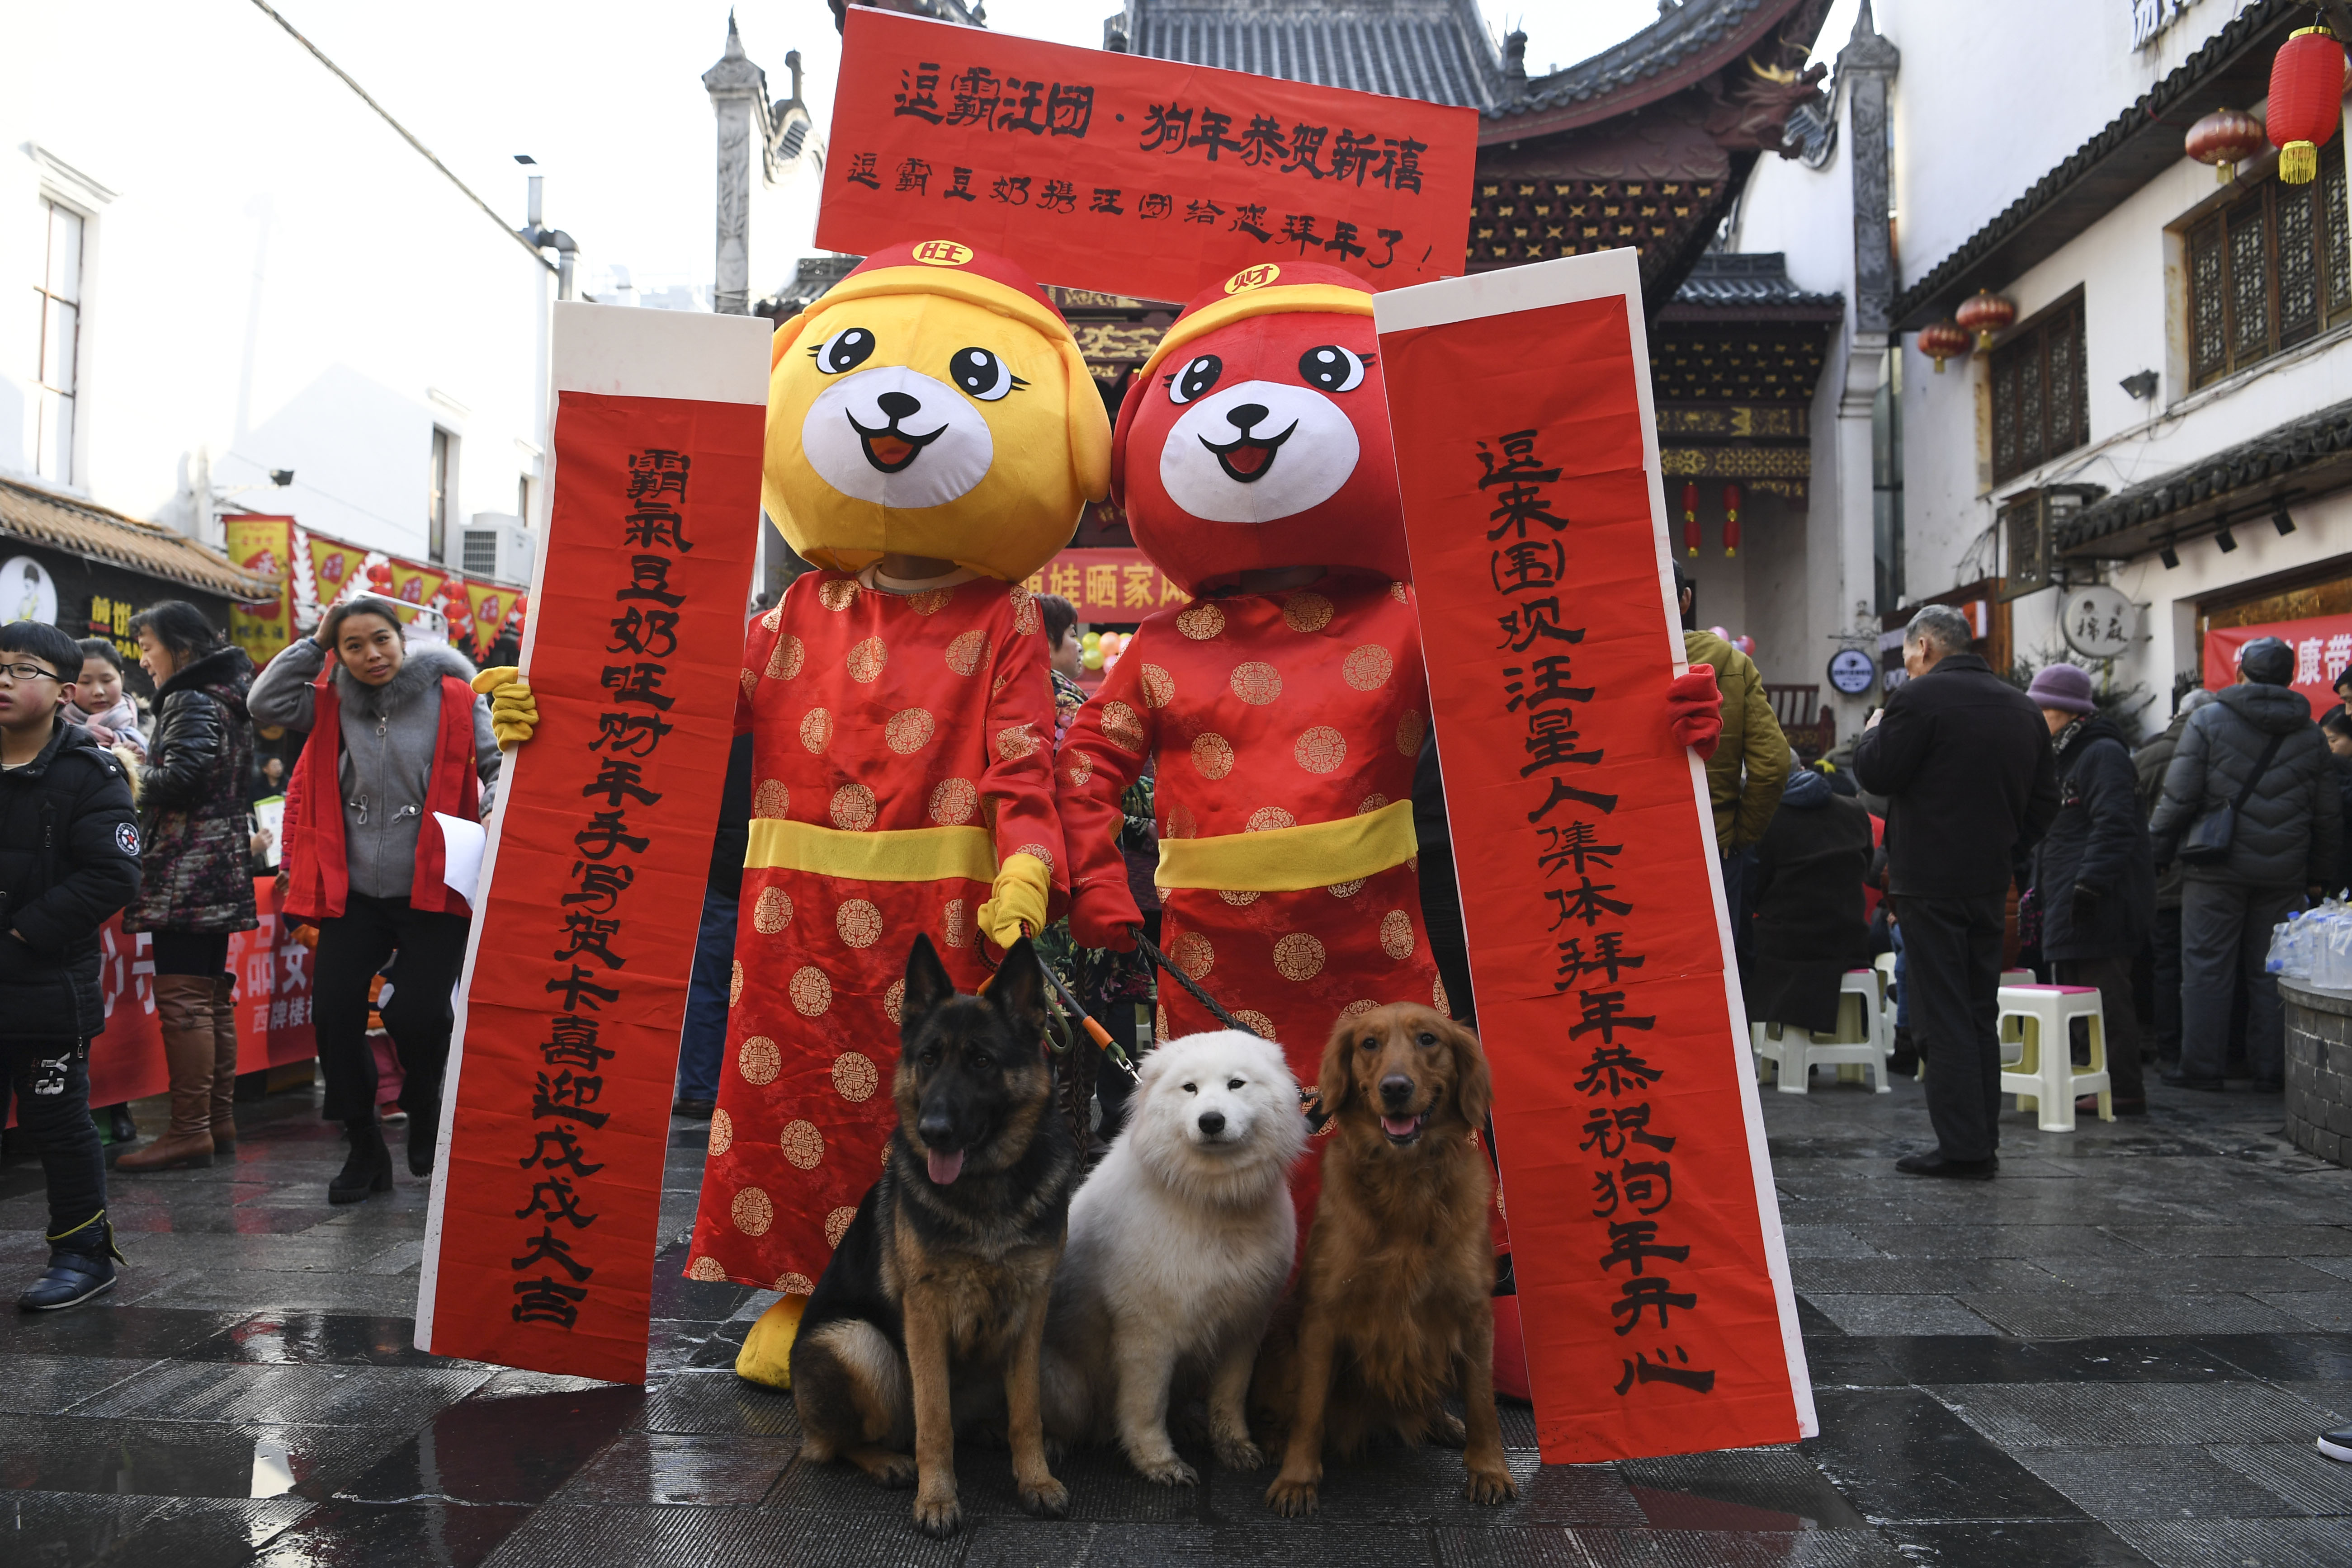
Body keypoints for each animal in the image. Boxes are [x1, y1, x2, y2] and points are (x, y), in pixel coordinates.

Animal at [790, 940, 1082, 1542]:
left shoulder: (1030, 1310)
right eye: (928, 1058)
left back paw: (991, 1430)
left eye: (981, 1061)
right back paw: (888, 1462)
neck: (985, 1187)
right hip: (859, 1344)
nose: (933, 1131)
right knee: (840, 1444)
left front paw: (1035, 1479)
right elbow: (934, 1421)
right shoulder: (924, 1314)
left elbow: (1027, 1413)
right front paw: (938, 1497)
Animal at [1044, 1029, 1308, 1485]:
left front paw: (1235, 1447)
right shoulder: (1148, 1333)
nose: (1211, 1121)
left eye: (1236, 1084)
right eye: (1190, 1089)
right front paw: (1160, 1464)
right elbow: (1146, 1407)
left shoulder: (1243, 1326)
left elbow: (1228, 1398)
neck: (1211, 1200)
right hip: (1068, 1387)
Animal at [1261, 1006, 1515, 1523]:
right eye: (1369, 1044)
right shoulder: (1324, 1316)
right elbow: (1310, 1411)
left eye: (1428, 1039)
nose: (1395, 1087)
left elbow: (1483, 1402)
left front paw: (1489, 1469)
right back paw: (1275, 1438)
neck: (1405, 1182)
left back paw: (1443, 1421)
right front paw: (1297, 1479)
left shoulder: (1474, 1312)